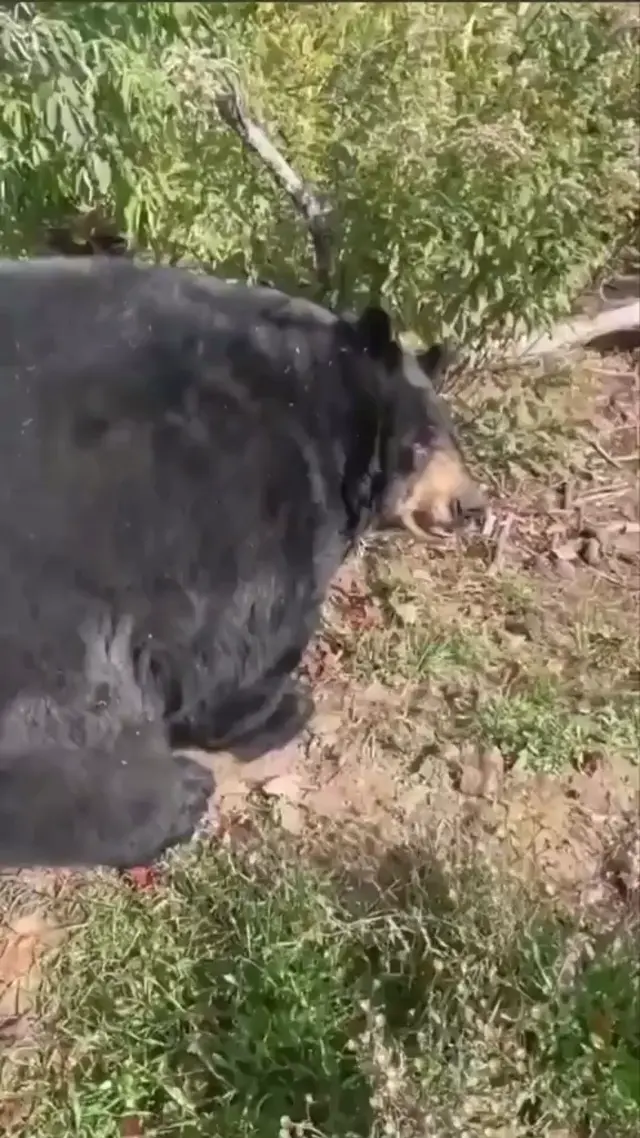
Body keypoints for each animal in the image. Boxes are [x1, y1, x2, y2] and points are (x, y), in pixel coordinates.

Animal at [0, 256, 485, 868]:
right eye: (422, 441)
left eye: (452, 438)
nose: (471, 505)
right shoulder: (248, 498)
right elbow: (240, 642)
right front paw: (275, 705)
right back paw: (177, 796)